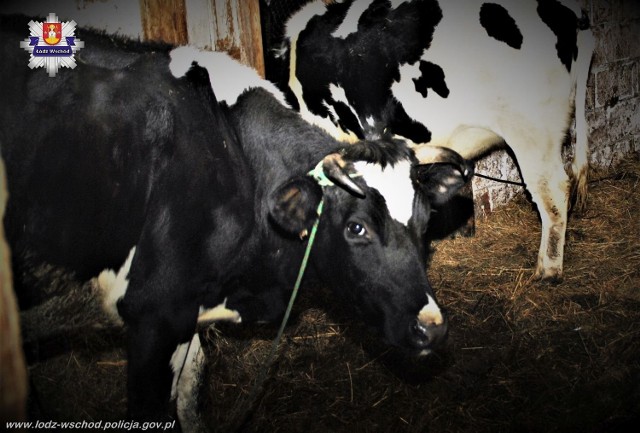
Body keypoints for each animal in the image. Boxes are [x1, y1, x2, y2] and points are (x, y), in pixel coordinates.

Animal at [0, 16, 470, 422]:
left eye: (426, 222)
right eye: (357, 228)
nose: (432, 329)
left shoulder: (185, 314)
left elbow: (190, 398)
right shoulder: (154, 315)